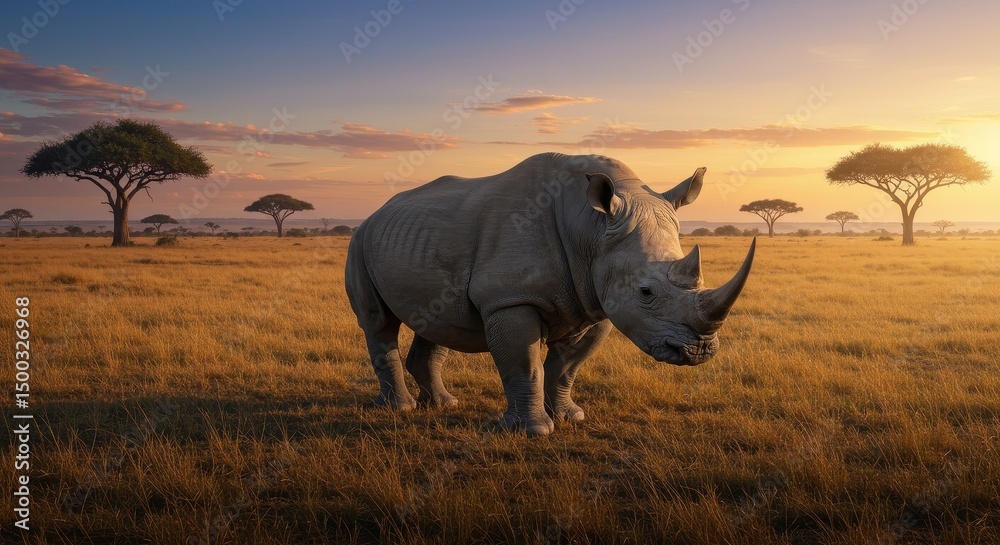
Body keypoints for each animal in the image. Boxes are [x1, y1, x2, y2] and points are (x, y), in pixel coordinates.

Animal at [346, 152, 755, 436]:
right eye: (646, 291)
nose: (698, 351)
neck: (590, 226)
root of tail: (376, 212)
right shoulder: (510, 298)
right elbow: (524, 364)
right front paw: (533, 431)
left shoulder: (595, 301)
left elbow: (566, 368)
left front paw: (571, 417)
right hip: (360, 241)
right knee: (378, 322)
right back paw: (400, 409)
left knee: (438, 322)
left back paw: (444, 405)